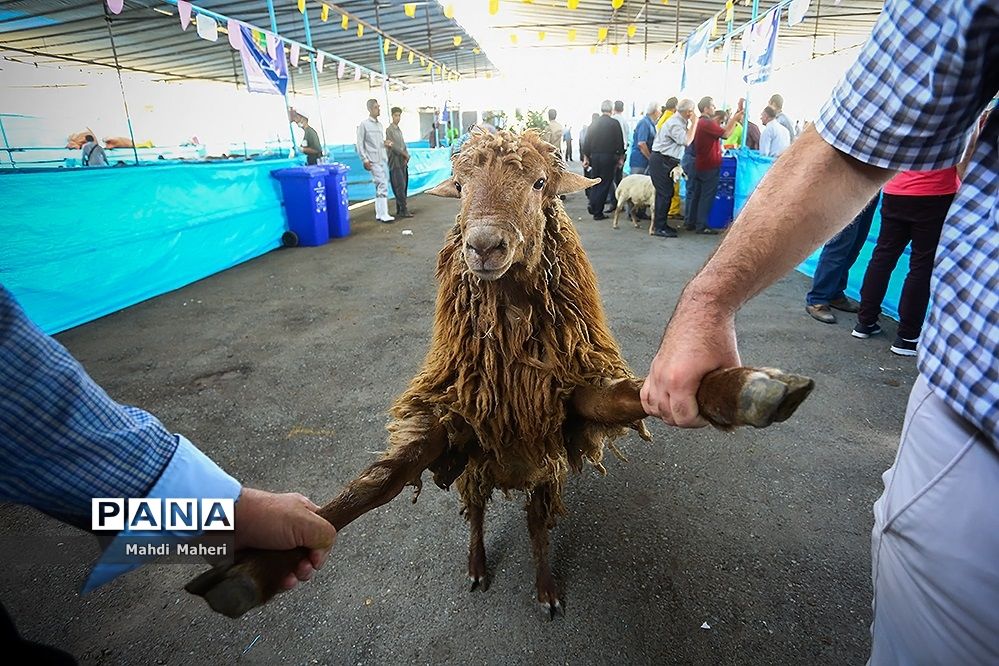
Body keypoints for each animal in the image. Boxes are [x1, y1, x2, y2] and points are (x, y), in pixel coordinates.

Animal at [186, 128, 812, 616]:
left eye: (539, 185)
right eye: (461, 187)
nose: (484, 246)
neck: (511, 350)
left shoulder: (566, 403)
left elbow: (626, 396)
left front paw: (744, 389)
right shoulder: (456, 420)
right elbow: (381, 480)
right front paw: (264, 564)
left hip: (541, 470)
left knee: (536, 524)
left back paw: (543, 584)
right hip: (477, 465)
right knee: (478, 514)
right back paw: (477, 565)